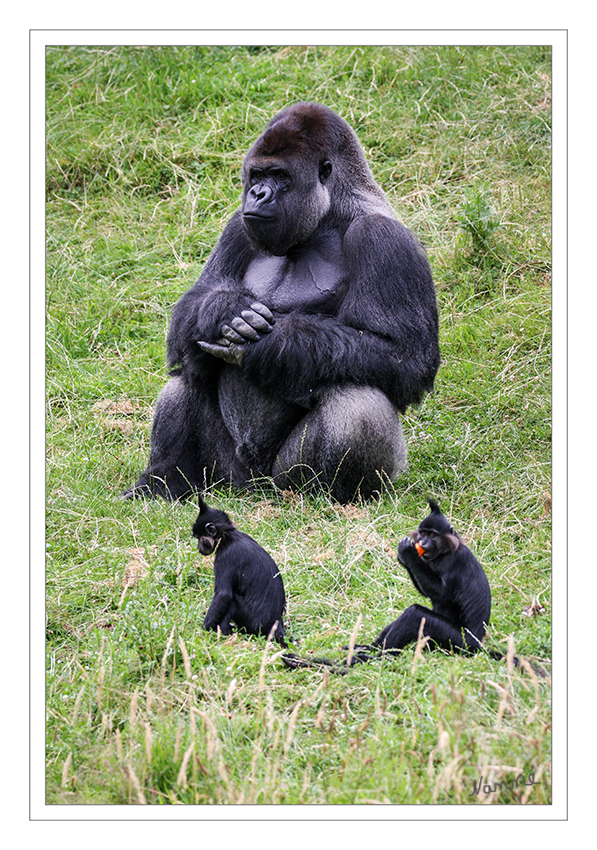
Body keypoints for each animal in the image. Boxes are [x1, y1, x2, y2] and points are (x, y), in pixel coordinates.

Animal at [122, 102, 438, 500]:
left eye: (279, 175)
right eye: (257, 174)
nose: (257, 193)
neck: (329, 213)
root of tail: (253, 487)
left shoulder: (383, 237)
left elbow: (405, 358)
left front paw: (276, 343)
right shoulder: (237, 225)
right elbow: (191, 306)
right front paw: (221, 310)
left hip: (283, 478)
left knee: (357, 402)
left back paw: (336, 497)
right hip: (226, 477)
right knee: (187, 372)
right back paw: (165, 482)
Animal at [191, 496, 284, 644]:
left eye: (199, 538)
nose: (199, 548)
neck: (228, 536)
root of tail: (276, 623)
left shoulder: (226, 557)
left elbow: (224, 595)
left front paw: (204, 631)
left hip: (252, 620)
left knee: (232, 598)